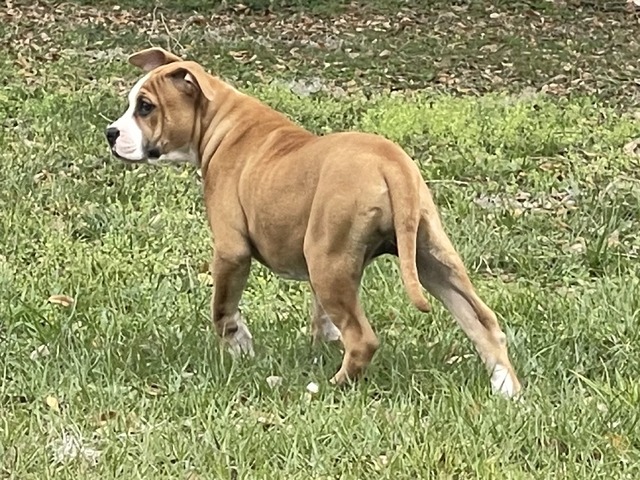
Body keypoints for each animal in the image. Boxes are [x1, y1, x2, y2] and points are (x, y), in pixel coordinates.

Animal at [105, 47, 521, 398]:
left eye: (145, 107)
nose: (111, 133)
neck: (219, 120)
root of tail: (390, 161)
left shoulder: (231, 251)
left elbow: (222, 309)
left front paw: (240, 347)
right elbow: (321, 314)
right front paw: (323, 339)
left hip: (329, 261)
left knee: (364, 339)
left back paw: (328, 387)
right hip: (429, 257)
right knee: (483, 321)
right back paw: (507, 390)